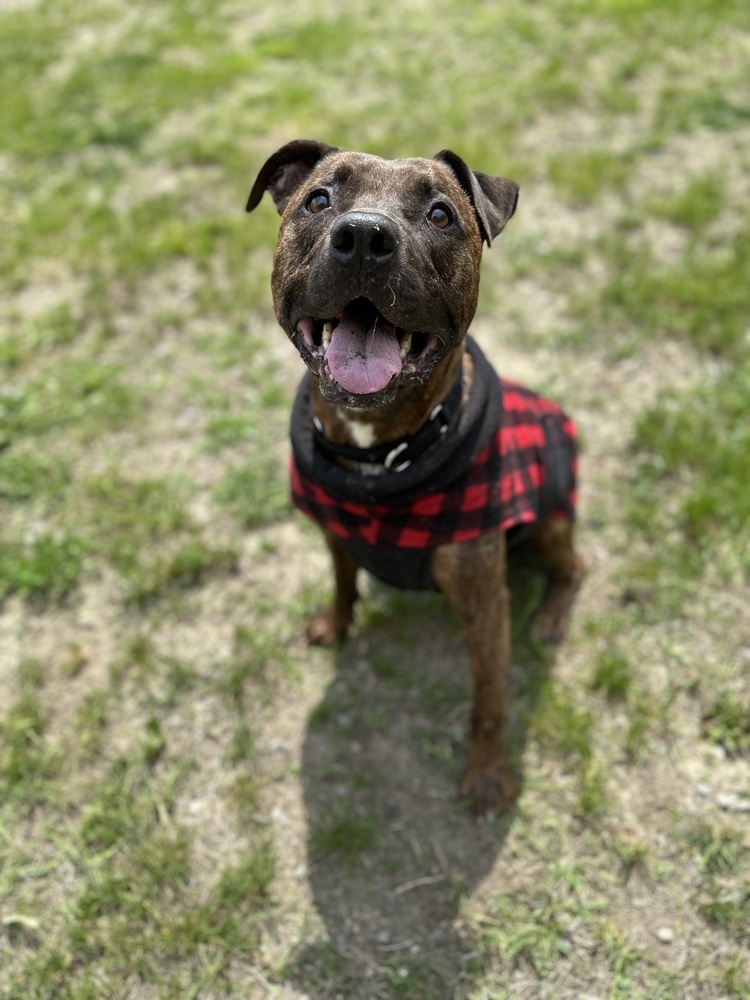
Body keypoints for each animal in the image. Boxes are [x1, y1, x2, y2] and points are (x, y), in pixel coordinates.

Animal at [248, 139, 588, 812]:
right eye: (318, 200)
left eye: (440, 214)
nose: (363, 237)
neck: (380, 454)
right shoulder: (334, 532)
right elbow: (342, 580)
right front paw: (335, 623)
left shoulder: (484, 601)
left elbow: (489, 699)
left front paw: (488, 774)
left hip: (551, 513)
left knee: (575, 565)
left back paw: (551, 616)